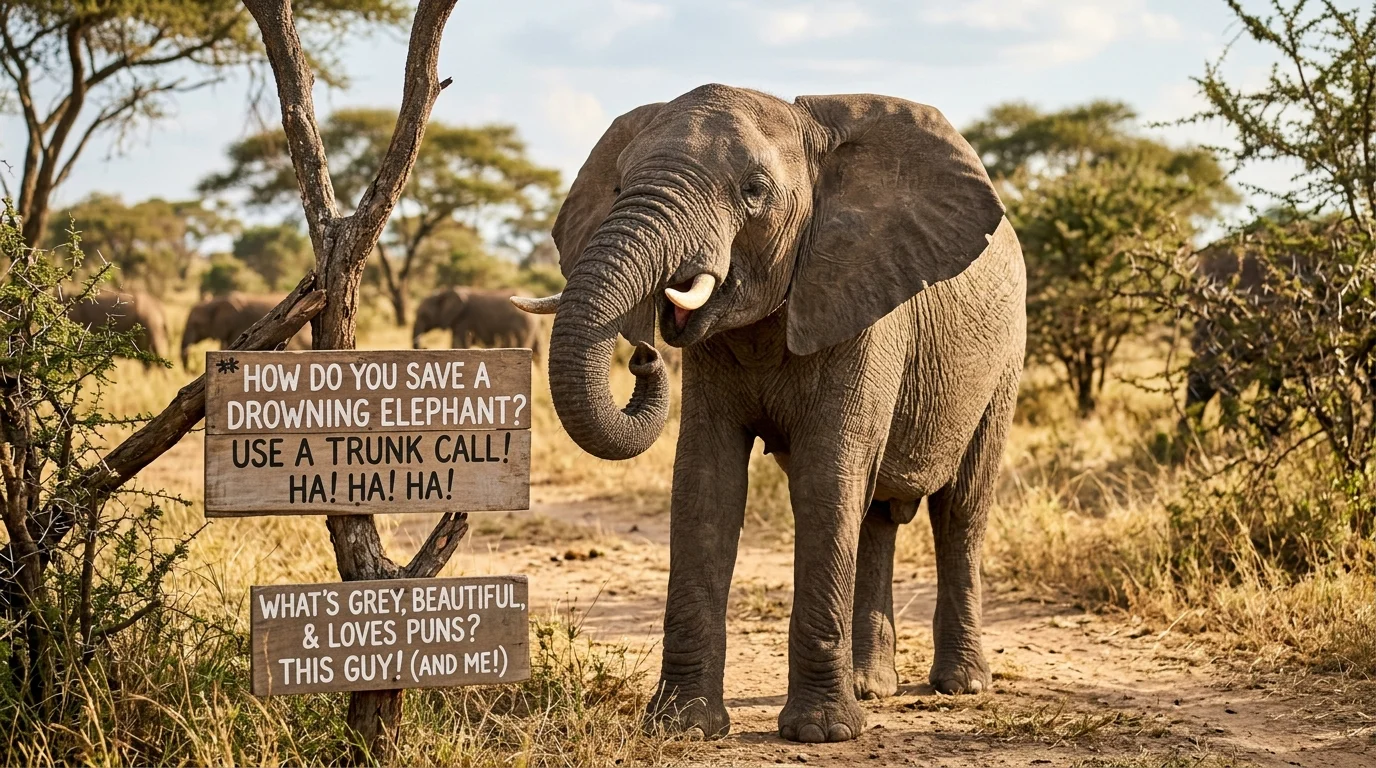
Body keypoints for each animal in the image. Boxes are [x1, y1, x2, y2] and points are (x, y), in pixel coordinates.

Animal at [411, 287, 544, 356]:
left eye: (424, 315)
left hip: (523, 325)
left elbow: (459, 345)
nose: (425, 347)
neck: (444, 292)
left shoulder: (464, 319)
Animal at [513, 85, 1025, 743]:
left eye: (754, 191)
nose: (644, 354)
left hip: (1004, 360)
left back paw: (960, 685)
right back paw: (872, 687)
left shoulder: (864, 309)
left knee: (960, 508)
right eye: (621, 185)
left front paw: (823, 733)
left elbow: (825, 482)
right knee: (875, 516)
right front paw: (683, 727)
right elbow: (706, 486)